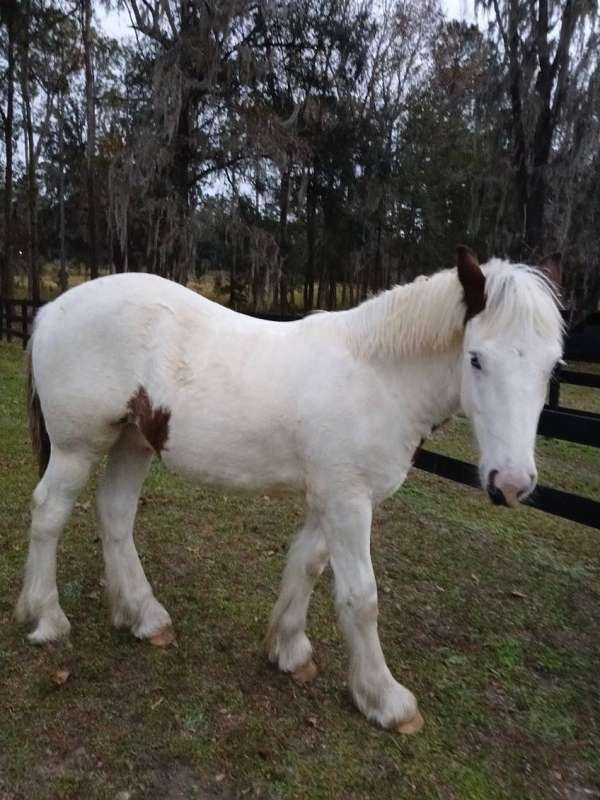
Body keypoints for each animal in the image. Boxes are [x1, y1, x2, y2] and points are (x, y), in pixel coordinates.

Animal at [16, 247, 564, 736]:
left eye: (553, 366)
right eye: (476, 359)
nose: (511, 483)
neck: (377, 378)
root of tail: (50, 310)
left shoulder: (331, 496)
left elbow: (306, 564)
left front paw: (289, 650)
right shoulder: (349, 502)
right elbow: (361, 597)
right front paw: (384, 699)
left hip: (133, 441)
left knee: (115, 515)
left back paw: (143, 616)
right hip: (76, 448)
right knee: (48, 514)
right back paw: (46, 617)